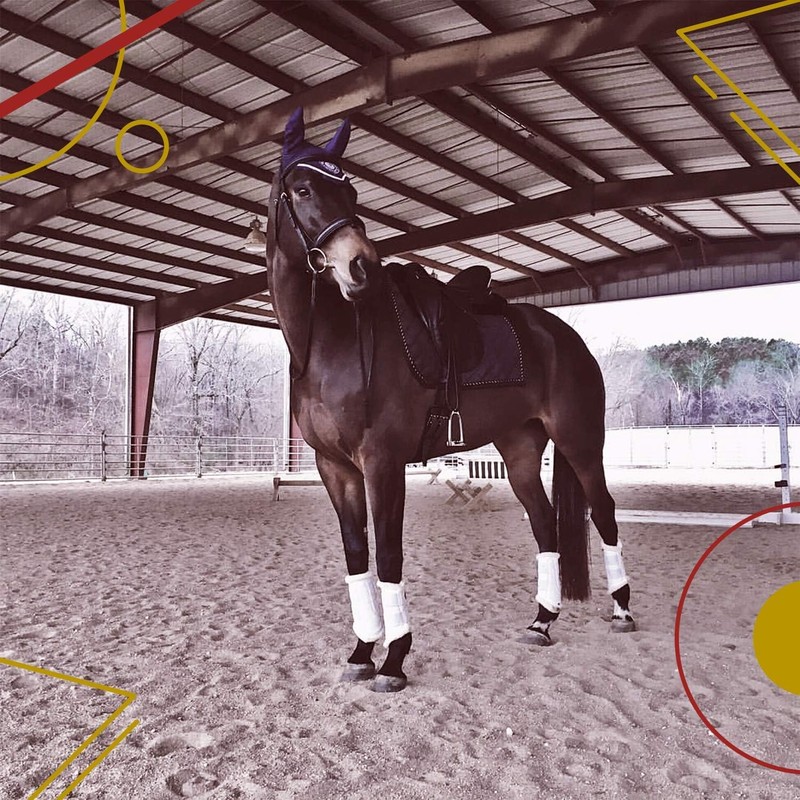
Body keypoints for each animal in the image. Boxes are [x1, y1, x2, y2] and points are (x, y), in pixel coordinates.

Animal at [265, 108, 635, 692]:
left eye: (351, 193)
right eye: (302, 189)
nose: (361, 267)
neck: (330, 341)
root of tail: (566, 337)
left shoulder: (382, 463)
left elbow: (389, 555)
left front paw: (394, 660)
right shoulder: (334, 468)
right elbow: (357, 555)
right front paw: (361, 652)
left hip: (580, 442)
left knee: (604, 513)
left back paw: (621, 610)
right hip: (520, 450)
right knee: (545, 523)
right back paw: (542, 620)